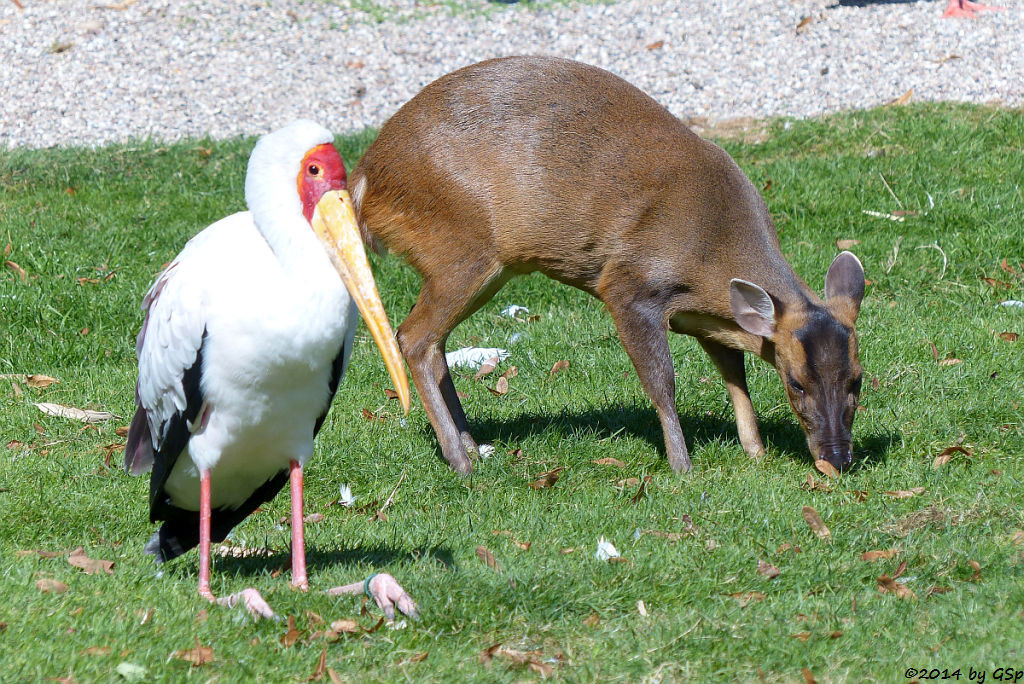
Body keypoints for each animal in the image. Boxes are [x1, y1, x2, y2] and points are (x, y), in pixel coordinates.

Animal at [350, 57, 864, 475]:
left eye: (858, 378)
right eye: (796, 384)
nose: (836, 458)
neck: (712, 250)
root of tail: (364, 181)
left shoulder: (706, 318)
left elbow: (734, 374)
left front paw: (754, 450)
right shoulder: (629, 285)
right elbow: (661, 382)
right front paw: (682, 465)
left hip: (484, 268)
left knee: (435, 343)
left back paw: (473, 445)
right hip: (460, 247)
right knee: (413, 337)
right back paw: (460, 461)